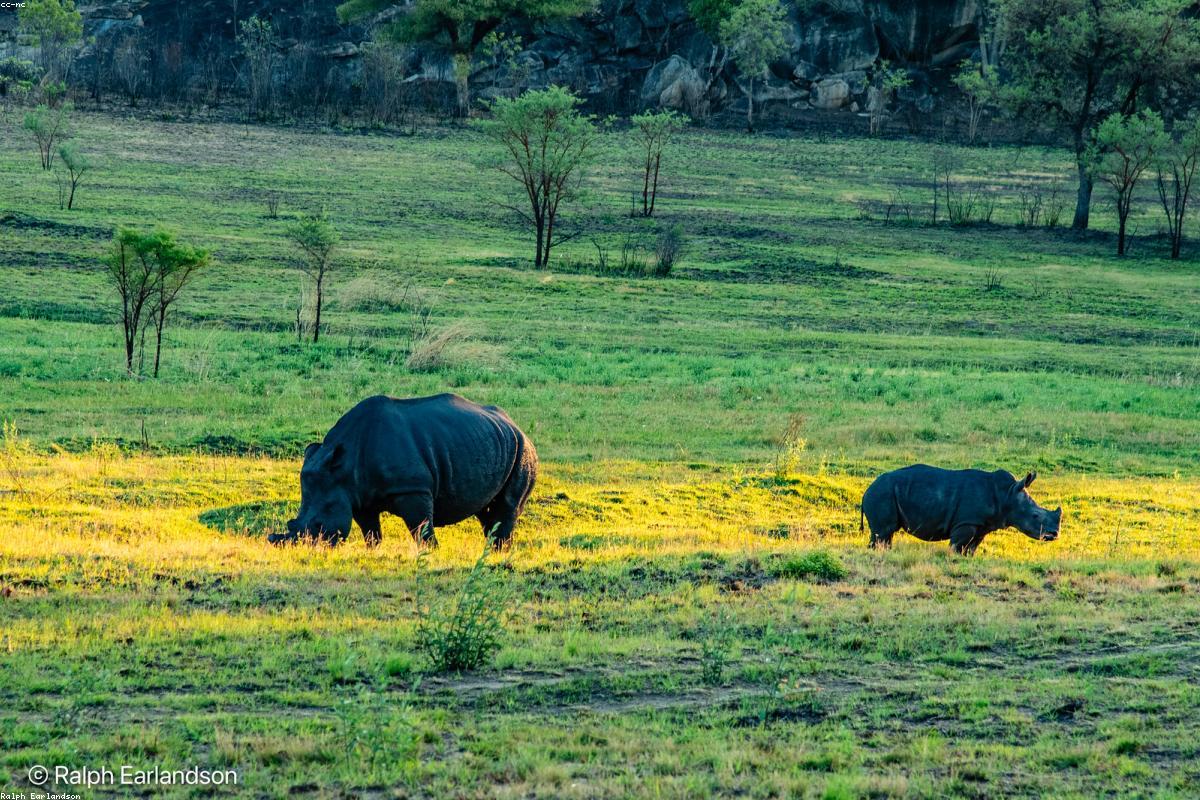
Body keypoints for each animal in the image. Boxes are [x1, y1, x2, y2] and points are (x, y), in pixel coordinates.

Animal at [269, 393, 538, 549]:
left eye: (318, 524)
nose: (302, 548)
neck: (344, 466)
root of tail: (515, 424)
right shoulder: (358, 494)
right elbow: (371, 532)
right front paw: (373, 551)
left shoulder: (412, 489)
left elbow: (422, 528)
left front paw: (429, 554)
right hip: (495, 442)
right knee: (486, 511)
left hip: (523, 450)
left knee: (507, 507)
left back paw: (496, 553)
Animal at [861, 465, 1062, 555]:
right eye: (1035, 516)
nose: (1054, 534)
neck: (1008, 495)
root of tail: (865, 492)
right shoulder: (966, 521)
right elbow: (958, 544)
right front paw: (953, 556)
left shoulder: (982, 525)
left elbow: (972, 547)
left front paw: (967, 558)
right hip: (882, 494)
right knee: (883, 532)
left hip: (886, 493)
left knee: (886, 534)